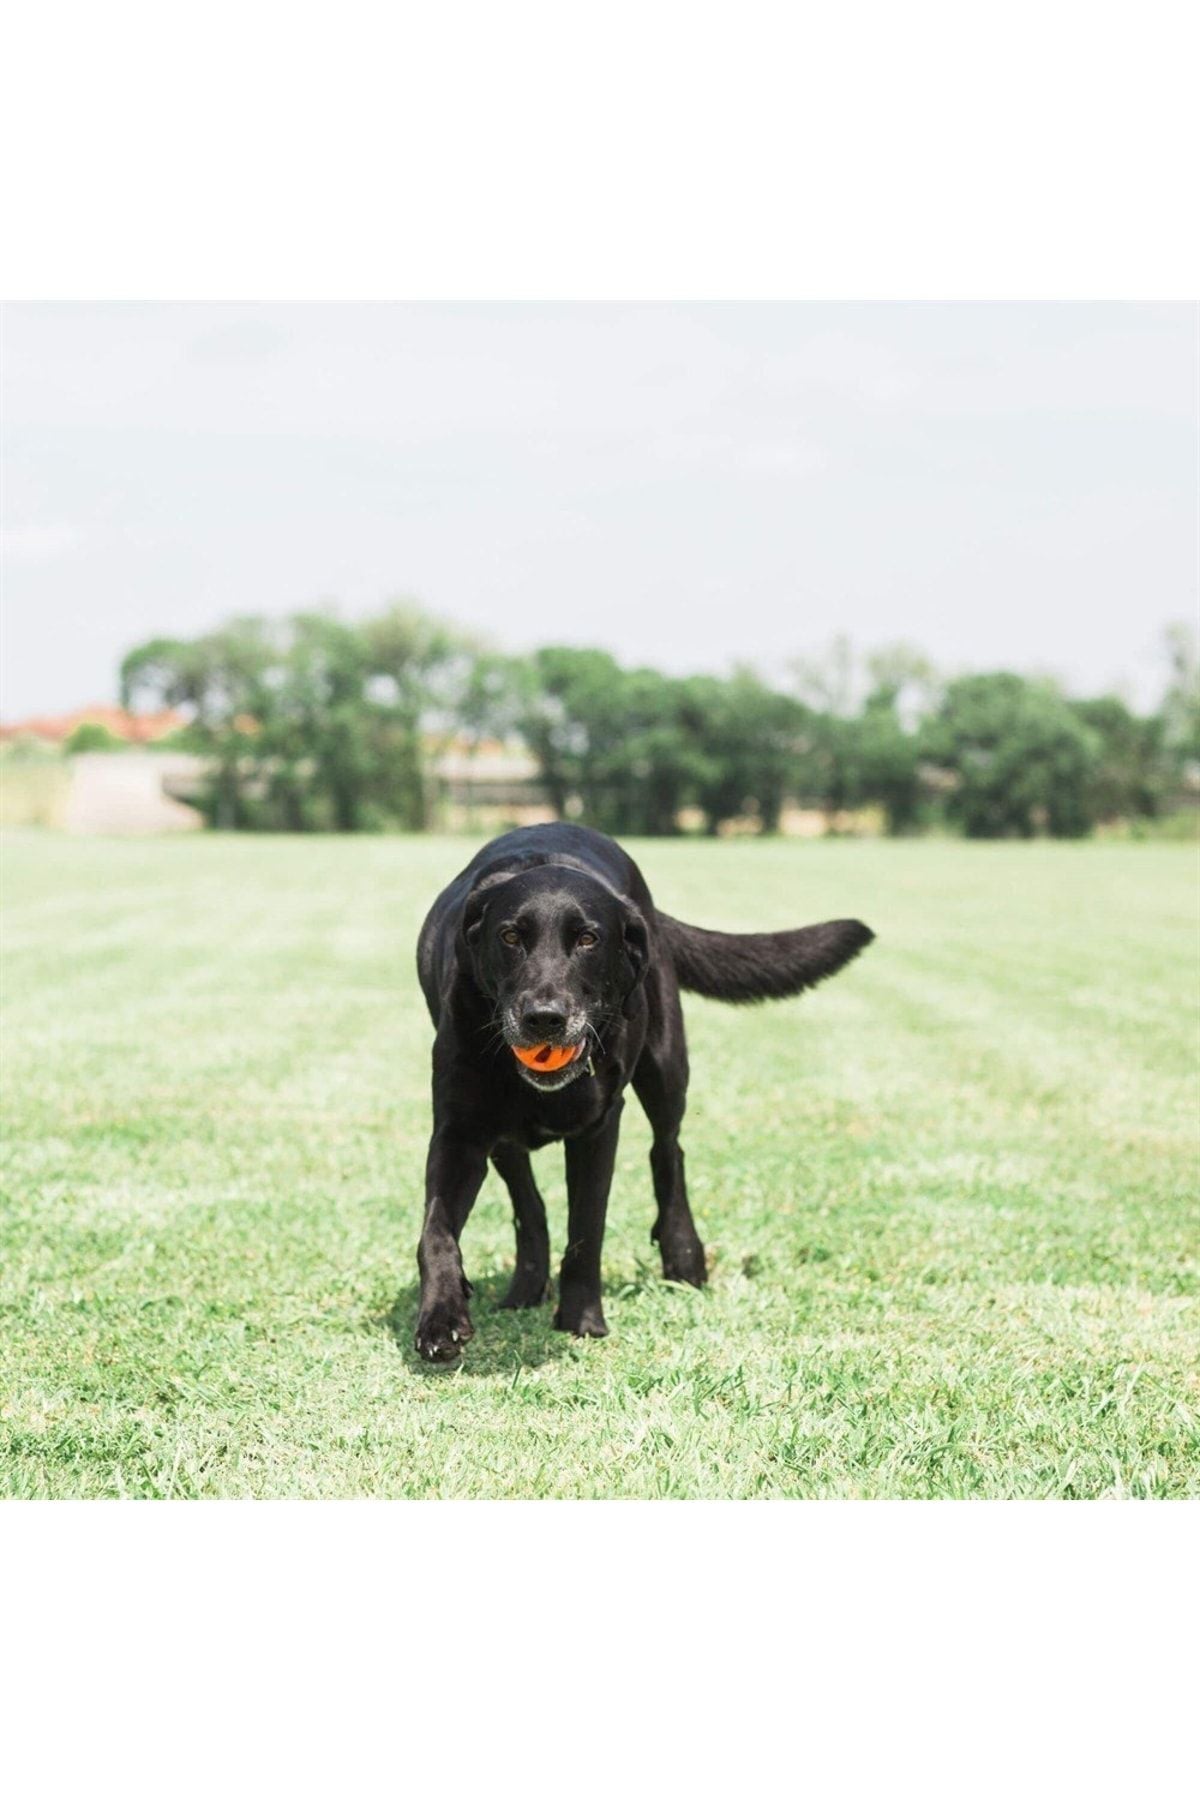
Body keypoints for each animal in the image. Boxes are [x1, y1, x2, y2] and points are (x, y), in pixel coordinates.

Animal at [415, 824, 874, 1353]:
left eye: (588, 939)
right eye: (510, 936)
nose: (544, 1019)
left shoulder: (599, 1128)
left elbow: (587, 1227)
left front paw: (582, 1320)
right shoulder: (459, 1133)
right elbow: (436, 1231)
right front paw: (440, 1319)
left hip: (665, 1065)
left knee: (667, 1150)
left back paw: (684, 1256)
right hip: (505, 1136)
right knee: (527, 1199)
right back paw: (526, 1285)